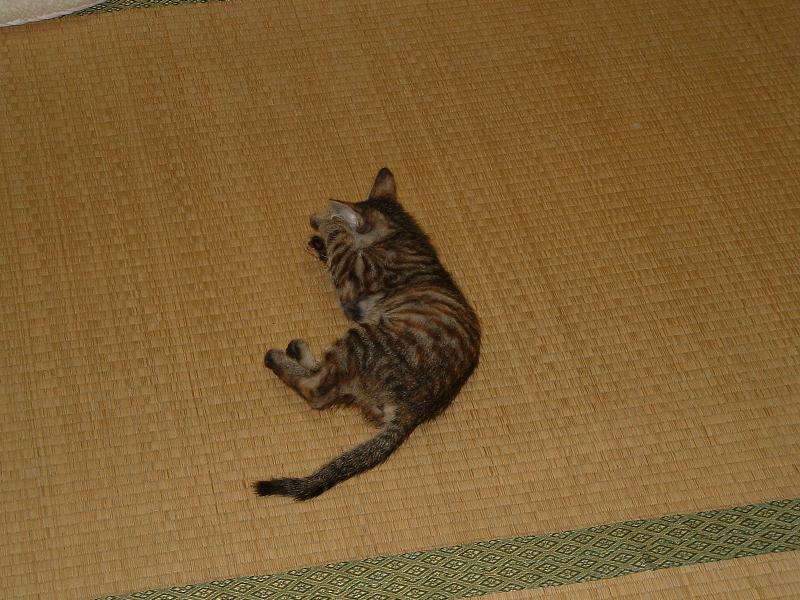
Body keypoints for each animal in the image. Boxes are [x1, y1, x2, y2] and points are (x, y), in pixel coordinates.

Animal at [255, 168, 481, 500]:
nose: (313, 221)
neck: (403, 232)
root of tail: (413, 411)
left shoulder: (354, 277)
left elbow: (342, 244)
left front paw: (327, 220)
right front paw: (320, 239)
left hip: (361, 338)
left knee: (319, 390)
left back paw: (278, 358)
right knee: (331, 378)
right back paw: (298, 353)